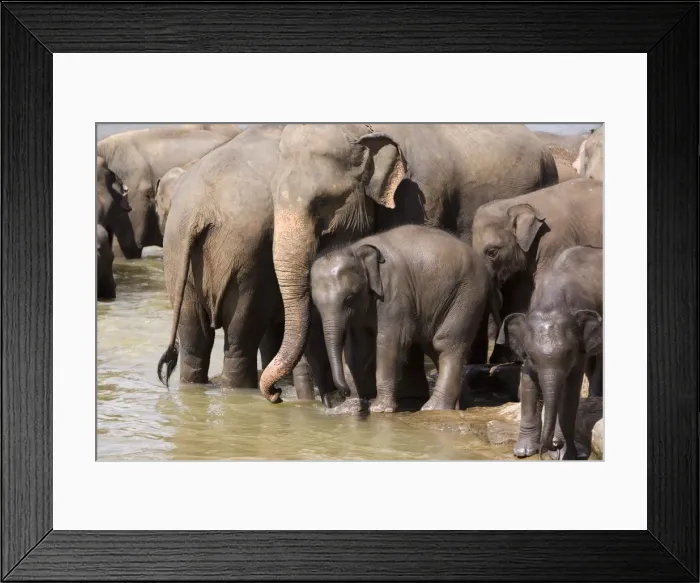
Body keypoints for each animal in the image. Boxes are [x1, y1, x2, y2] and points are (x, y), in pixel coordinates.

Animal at [310, 225, 501, 412]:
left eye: (349, 298)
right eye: (315, 303)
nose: (344, 392)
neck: (354, 249)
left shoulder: (394, 292)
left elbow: (389, 340)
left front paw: (380, 409)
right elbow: (357, 349)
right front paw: (348, 409)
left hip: (467, 295)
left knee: (446, 343)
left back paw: (434, 408)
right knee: (433, 347)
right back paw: (461, 405)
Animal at [496, 245, 603, 460]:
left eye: (569, 353)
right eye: (530, 355)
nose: (554, 445)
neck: (552, 303)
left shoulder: (579, 349)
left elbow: (570, 390)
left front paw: (565, 454)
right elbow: (528, 382)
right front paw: (523, 451)